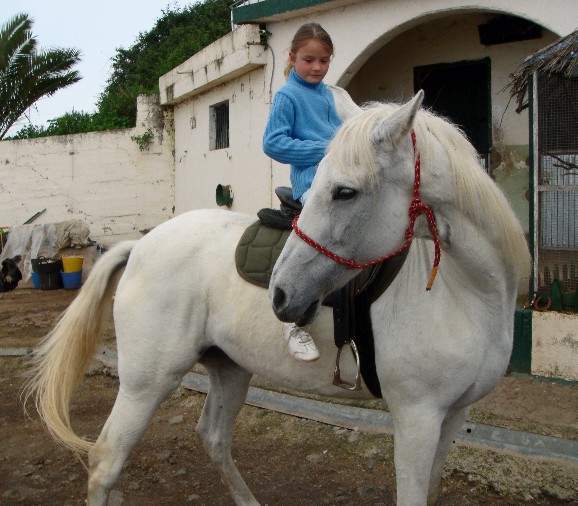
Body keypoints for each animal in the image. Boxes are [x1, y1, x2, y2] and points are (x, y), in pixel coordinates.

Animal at [23, 92, 528, 506]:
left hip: (229, 367)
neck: (466, 293)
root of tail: (141, 246)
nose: (281, 294)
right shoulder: (417, 417)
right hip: (146, 383)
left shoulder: (452, 415)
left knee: (214, 438)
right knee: (106, 460)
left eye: (345, 191)